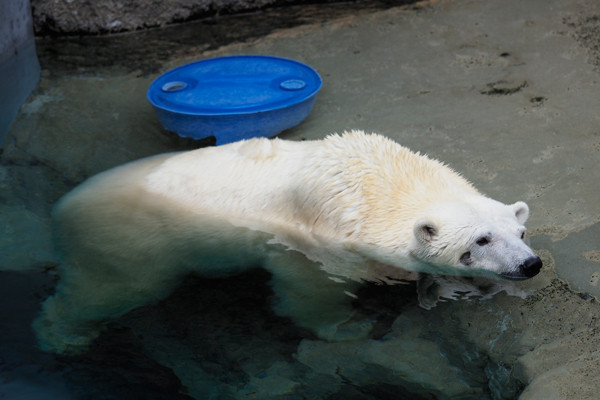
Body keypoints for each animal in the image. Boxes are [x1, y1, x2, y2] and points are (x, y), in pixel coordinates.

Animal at [32, 131, 540, 354]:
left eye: (519, 232)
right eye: (481, 239)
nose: (530, 264)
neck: (382, 181)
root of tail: (60, 208)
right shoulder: (316, 238)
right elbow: (309, 289)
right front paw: (350, 328)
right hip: (131, 244)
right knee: (112, 288)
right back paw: (63, 336)